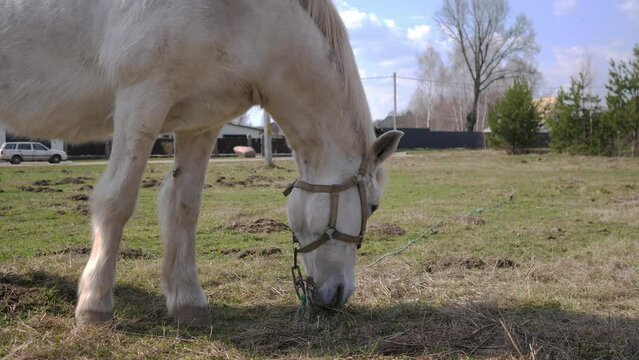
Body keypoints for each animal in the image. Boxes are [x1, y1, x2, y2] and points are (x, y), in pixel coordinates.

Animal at [0, 0, 400, 326]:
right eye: (374, 206)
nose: (339, 296)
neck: (241, 17)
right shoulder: (140, 102)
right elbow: (117, 203)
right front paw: (94, 305)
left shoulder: (200, 123)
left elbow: (184, 208)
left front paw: (188, 303)